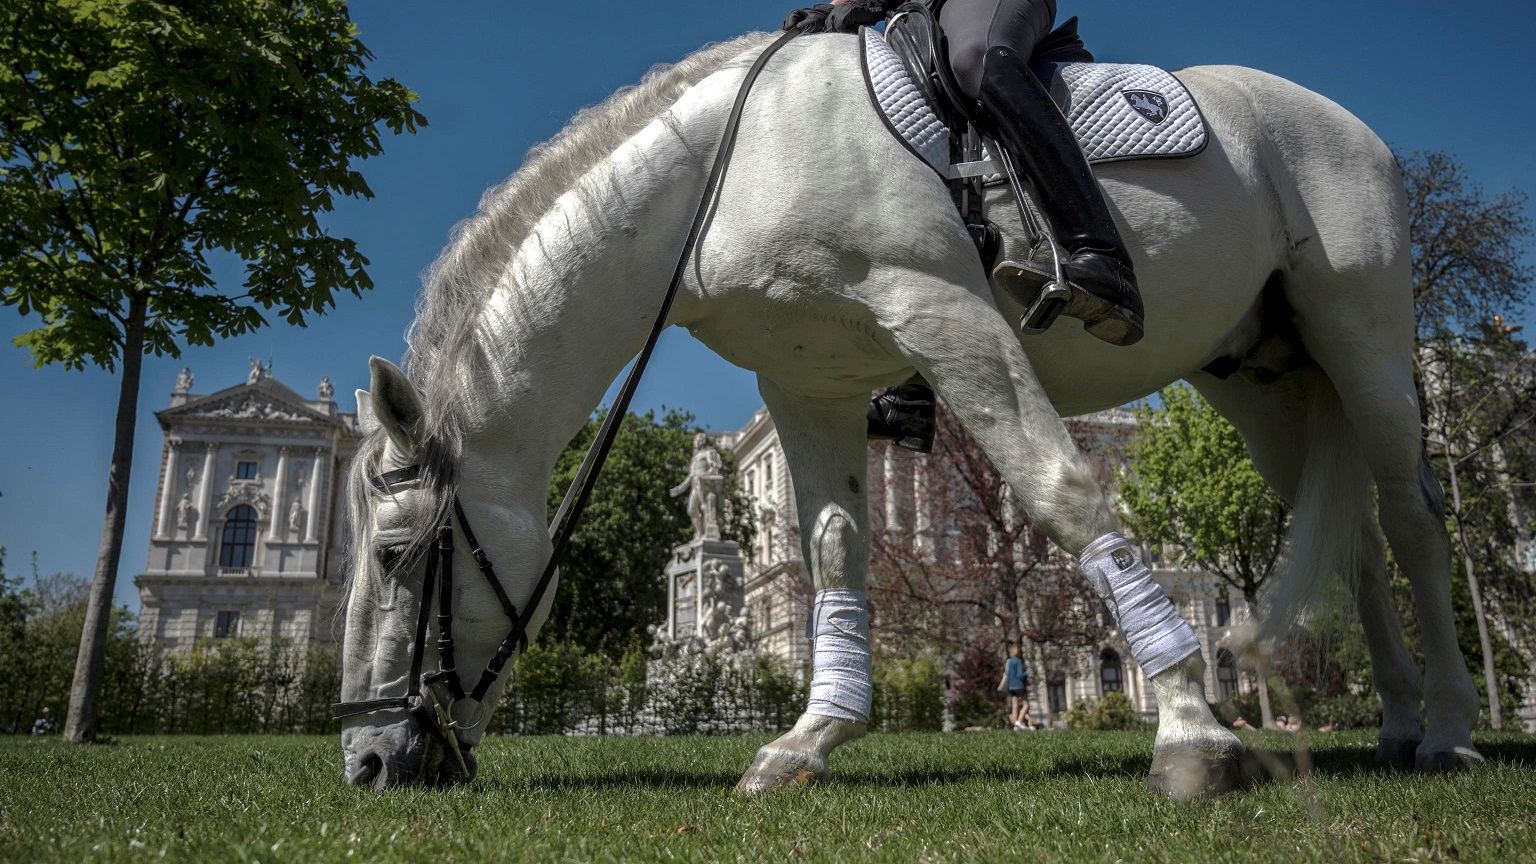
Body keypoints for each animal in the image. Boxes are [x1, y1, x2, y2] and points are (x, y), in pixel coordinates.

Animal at [337, 30, 1485, 795]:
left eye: (397, 555)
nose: (365, 759)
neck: (730, 176)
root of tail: (1342, 119)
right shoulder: (807, 383)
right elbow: (835, 554)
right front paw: (807, 740)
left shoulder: (945, 313)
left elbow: (1064, 491)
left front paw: (1194, 734)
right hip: (1260, 382)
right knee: (1354, 537)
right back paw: (1394, 727)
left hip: (1363, 338)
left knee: (1414, 520)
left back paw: (1449, 734)